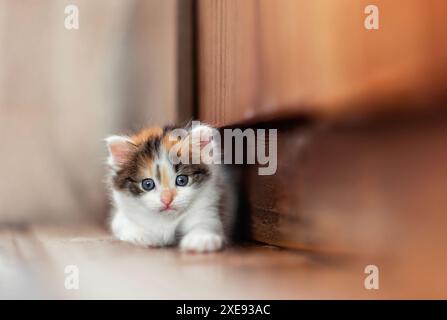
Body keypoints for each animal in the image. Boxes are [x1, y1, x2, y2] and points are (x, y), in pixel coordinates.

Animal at [106, 124, 236, 252]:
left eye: (182, 180)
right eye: (147, 184)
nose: (166, 200)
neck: (167, 220)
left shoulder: (207, 209)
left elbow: (207, 223)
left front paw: (200, 238)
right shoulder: (122, 215)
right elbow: (124, 224)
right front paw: (145, 235)